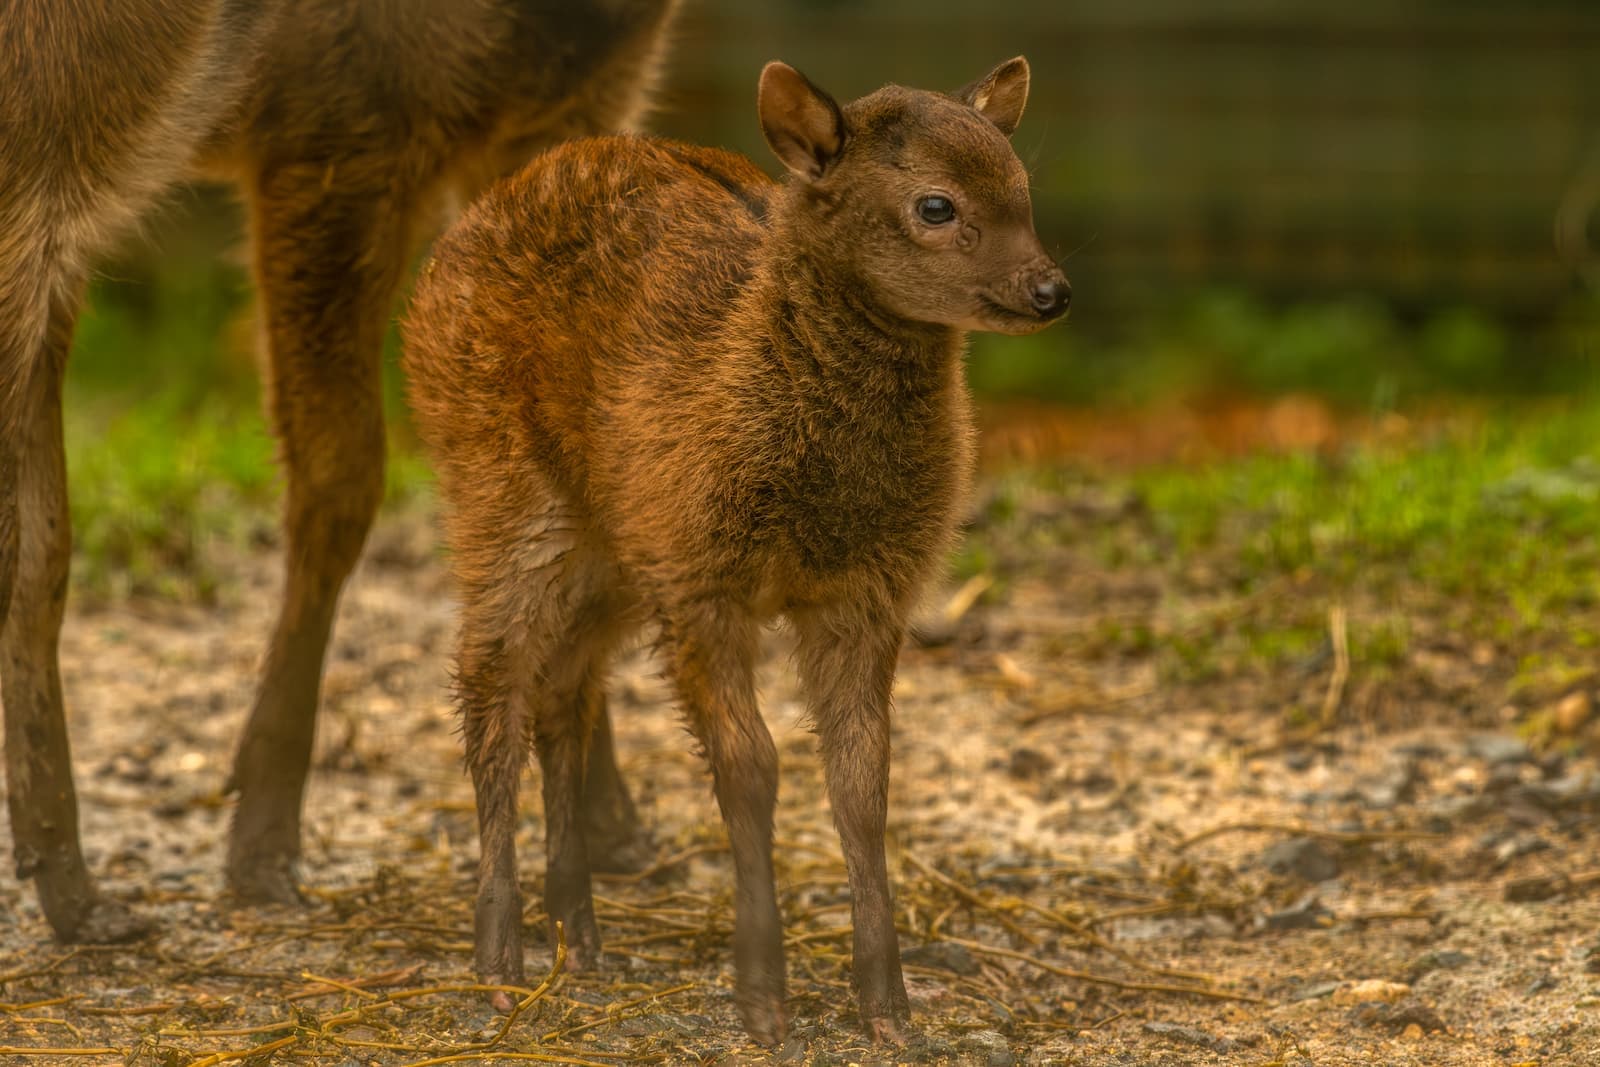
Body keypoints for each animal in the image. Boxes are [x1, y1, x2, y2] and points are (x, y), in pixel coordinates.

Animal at [402, 56, 1070, 1044]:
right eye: (936, 205)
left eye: (1024, 186)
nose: (1050, 290)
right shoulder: (699, 571)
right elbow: (752, 767)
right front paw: (762, 997)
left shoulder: (869, 586)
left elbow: (864, 778)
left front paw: (888, 1007)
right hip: (496, 475)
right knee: (491, 676)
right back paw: (498, 962)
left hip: (614, 542)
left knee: (566, 683)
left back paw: (579, 933)